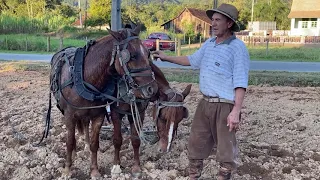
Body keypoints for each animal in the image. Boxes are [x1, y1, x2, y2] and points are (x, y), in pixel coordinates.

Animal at [43, 26, 159, 178]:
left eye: (148, 53)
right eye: (132, 56)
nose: (152, 89)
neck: (86, 78)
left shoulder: (99, 115)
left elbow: (96, 143)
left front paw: (95, 170)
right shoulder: (70, 116)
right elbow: (69, 141)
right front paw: (67, 170)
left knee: (85, 126)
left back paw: (85, 146)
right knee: (73, 136)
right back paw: (74, 154)